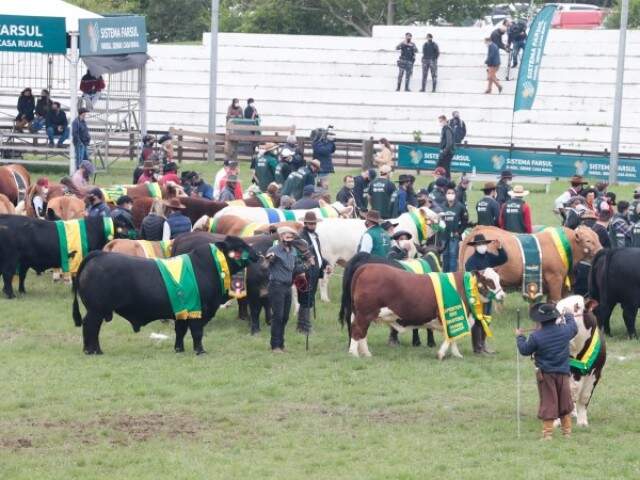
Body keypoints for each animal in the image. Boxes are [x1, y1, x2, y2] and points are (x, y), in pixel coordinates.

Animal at [72, 234, 258, 354]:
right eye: (238, 247)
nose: (257, 254)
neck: (207, 267)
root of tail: (99, 254)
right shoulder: (198, 310)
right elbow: (197, 332)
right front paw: (200, 351)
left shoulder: (183, 311)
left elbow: (180, 331)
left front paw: (179, 349)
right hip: (96, 310)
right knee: (90, 326)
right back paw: (93, 351)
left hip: (98, 310)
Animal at [340, 266, 504, 360]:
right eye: (489, 281)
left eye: (499, 279)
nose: (502, 295)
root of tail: (367, 266)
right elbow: (450, 337)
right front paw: (441, 354)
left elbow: (453, 337)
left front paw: (456, 354)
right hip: (365, 313)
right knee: (357, 331)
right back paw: (354, 354)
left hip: (361, 314)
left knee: (362, 333)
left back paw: (366, 353)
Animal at [460, 227, 600, 302]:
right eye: (588, 241)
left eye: (597, 237)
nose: (601, 250)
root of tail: (479, 228)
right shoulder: (555, 278)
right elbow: (556, 300)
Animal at [556, 296, 604, 428]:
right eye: (556, 309)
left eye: (577, 307)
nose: (560, 322)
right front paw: (557, 421)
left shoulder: (596, 373)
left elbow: (584, 397)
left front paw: (582, 422)